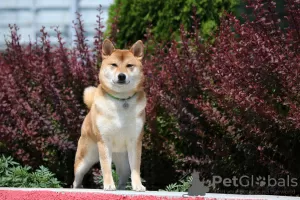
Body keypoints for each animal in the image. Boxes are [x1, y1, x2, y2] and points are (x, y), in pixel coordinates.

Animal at [72, 39, 146, 192]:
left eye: (129, 65)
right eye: (114, 65)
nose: (121, 76)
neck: (122, 100)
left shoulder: (135, 141)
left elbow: (136, 168)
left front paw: (138, 185)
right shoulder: (104, 141)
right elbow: (106, 166)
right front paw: (108, 185)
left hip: (122, 161)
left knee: (124, 175)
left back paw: (122, 188)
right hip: (84, 160)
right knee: (77, 177)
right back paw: (77, 188)